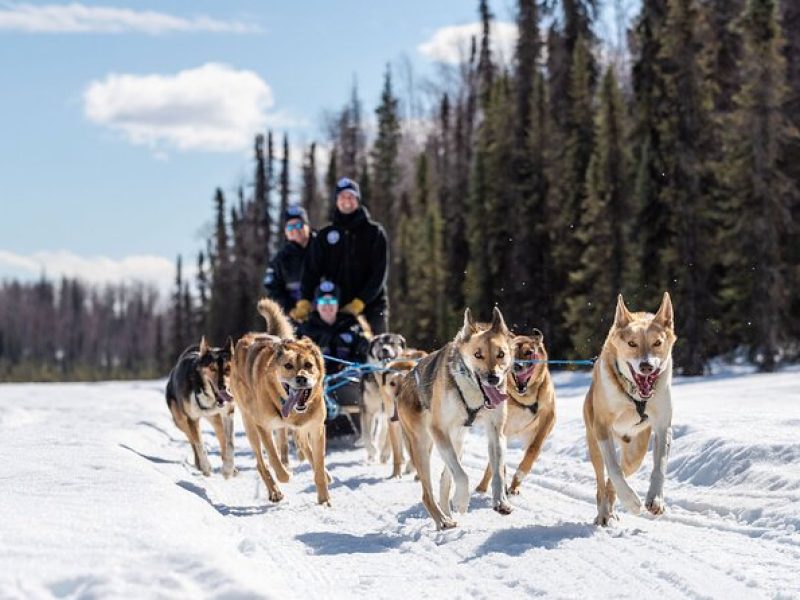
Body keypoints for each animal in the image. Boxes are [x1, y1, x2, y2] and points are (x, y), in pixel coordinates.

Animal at [231, 298, 332, 504]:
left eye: (309, 365)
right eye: (288, 366)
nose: (301, 378)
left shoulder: (316, 428)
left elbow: (318, 463)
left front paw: (324, 498)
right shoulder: (263, 427)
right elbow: (274, 459)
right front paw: (285, 475)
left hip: (299, 429)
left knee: (303, 447)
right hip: (250, 426)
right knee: (262, 463)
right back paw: (275, 491)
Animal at [398, 308, 516, 528]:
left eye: (501, 354)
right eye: (478, 354)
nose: (493, 378)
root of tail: (405, 380)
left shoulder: (496, 432)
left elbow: (497, 472)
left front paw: (501, 502)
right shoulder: (438, 430)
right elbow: (462, 475)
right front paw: (461, 501)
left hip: (457, 441)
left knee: (445, 478)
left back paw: (447, 513)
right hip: (423, 445)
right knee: (428, 492)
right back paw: (443, 520)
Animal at [476, 330, 556, 494]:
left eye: (529, 352)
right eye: (509, 353)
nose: (517, 366)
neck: (525, 398)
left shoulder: (548, 415)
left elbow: (534, 449)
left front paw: (519, 475)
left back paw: (514, 486)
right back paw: (483, 487)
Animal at [584, 294, 680, 524]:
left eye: (657, 342)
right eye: (632, 343)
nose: (646, 366)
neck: (634, 395)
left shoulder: (663, 426)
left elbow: (660, 466)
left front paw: (656, 500)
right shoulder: (602, 427)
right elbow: (613, 468)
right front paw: (631, 501)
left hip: (635, 453)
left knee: (614, 479)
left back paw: (612, 509)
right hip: (594, 443)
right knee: (602, 481)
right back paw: (604, 513)